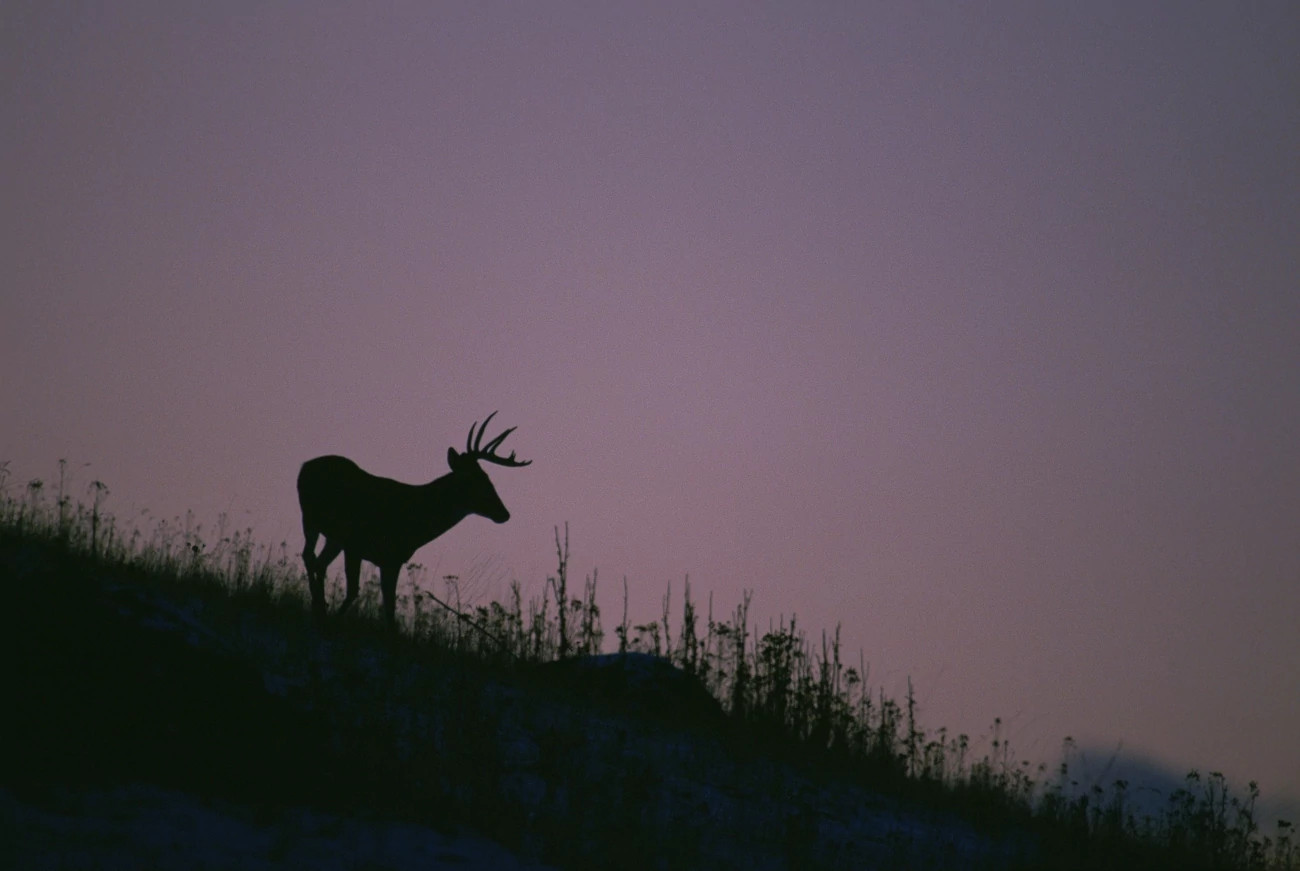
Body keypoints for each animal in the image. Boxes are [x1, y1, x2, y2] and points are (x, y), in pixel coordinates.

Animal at [297, 412, 531, 626]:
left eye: (488, 478)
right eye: (474, 479)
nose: (504, 513)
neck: (414, 520)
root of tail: (305, 465)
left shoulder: (392, 559)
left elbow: (389, 608)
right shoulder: (356, 544)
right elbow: (356, 591)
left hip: (332, 536)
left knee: (318, 562)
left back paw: (319, 607)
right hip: (310, 517)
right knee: (309, 556)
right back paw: (318, 606)